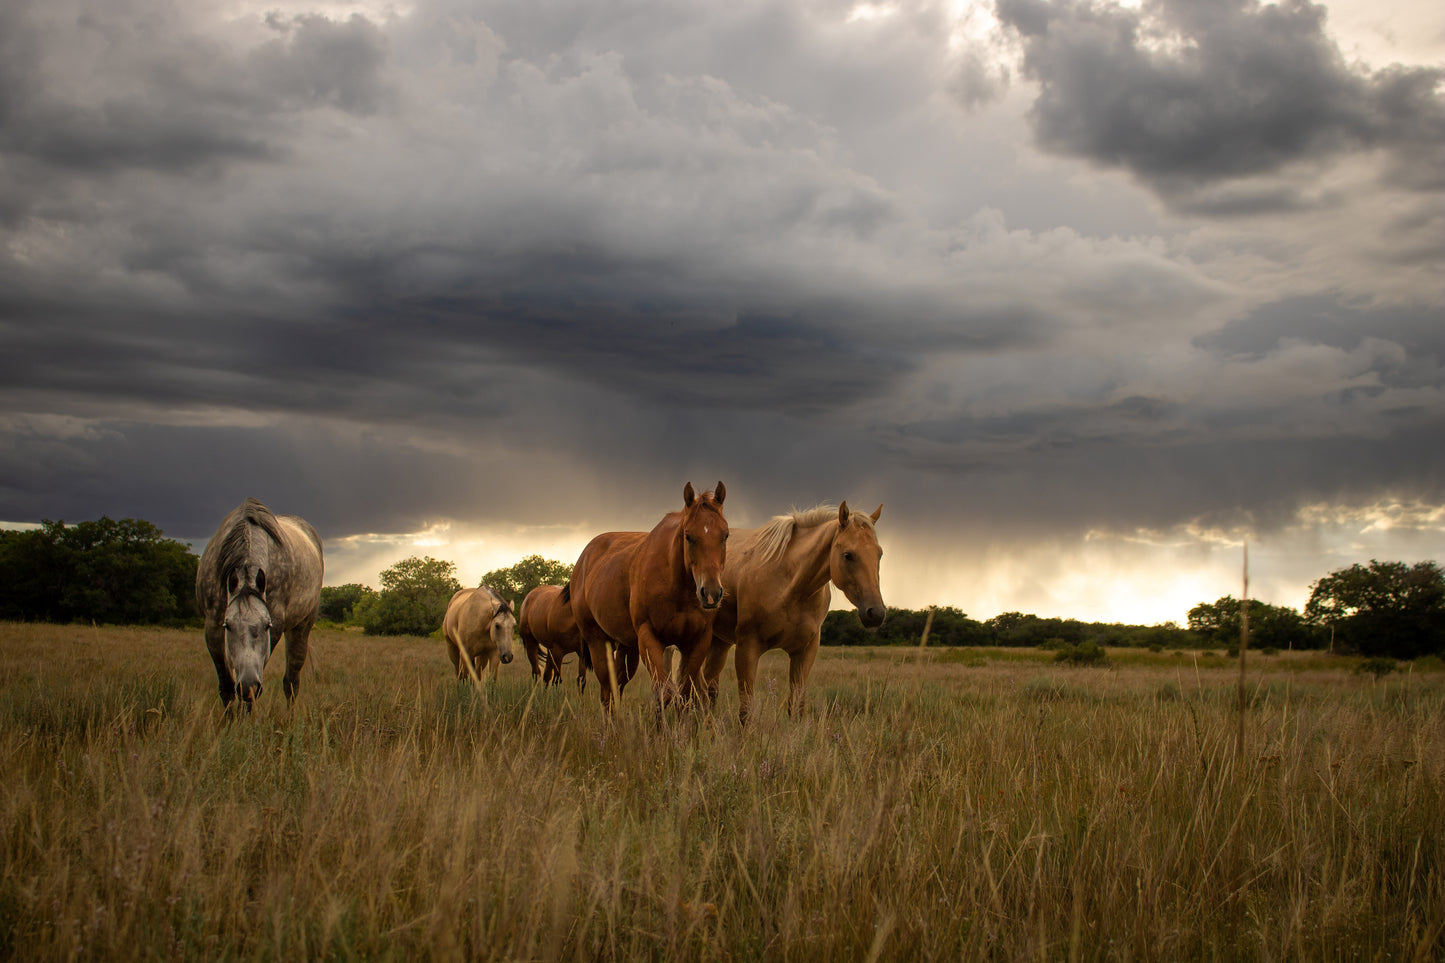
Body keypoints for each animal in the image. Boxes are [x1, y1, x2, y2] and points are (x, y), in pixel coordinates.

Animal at [193, 497, 323, 708]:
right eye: (227, 625)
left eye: (266, 625)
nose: (248, 686)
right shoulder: (212, 626)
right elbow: (227, 686)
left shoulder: (275, 625)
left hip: (301, 627)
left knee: (291, 683)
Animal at [566, 480, 728, 711]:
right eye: (688, 536)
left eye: (725, 535)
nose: (711, 594)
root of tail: (583, 560)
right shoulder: (649, 638)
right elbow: (664, 694)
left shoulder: (697, 642)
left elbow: (685, 696)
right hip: (598, 641)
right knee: (607, 692)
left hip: (626, 647)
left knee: (617, 686)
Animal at [699, 503, 878, 720]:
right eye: (848, 555)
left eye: (879, 553)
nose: (876, 612)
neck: (790, 586)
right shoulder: (747, 648)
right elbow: (746, 711)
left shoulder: (805, 651)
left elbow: (796, 707)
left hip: (720, 643)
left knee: (708, 688)